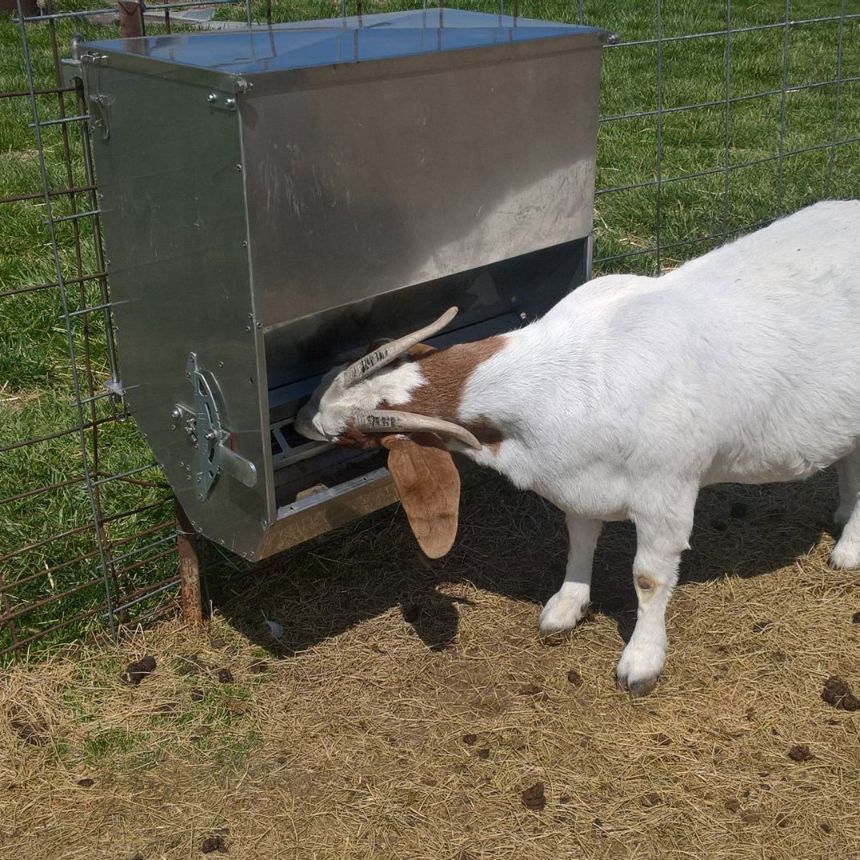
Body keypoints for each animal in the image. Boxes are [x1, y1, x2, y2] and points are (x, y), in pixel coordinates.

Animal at [295, 200, 860, 695]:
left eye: (356, 434)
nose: (306, 419)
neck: (568, 372)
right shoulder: (579, 479)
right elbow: (579, 539)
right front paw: (566, 607)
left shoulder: (667, 492)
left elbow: (649, 578)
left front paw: (641, 662)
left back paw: (847, 551)